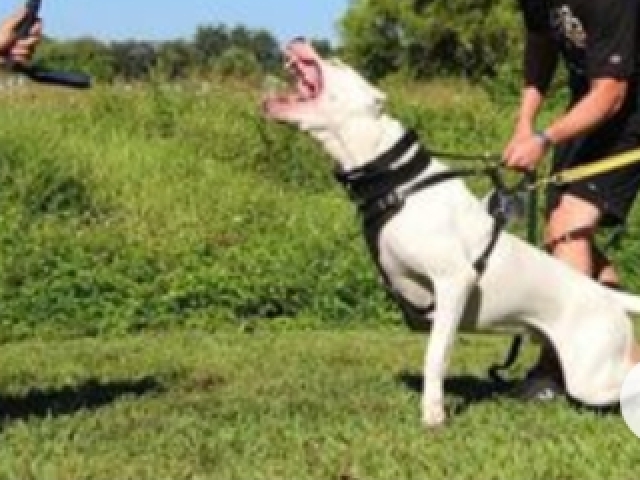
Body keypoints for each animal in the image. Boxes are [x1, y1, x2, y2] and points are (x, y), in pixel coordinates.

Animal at [264, 39, 640, 426]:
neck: (397, 181)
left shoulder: (453, 281)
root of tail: (610, 298)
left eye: (337, 62)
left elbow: (435, 356)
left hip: (591, 377)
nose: (296, 40)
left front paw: (433, 413)